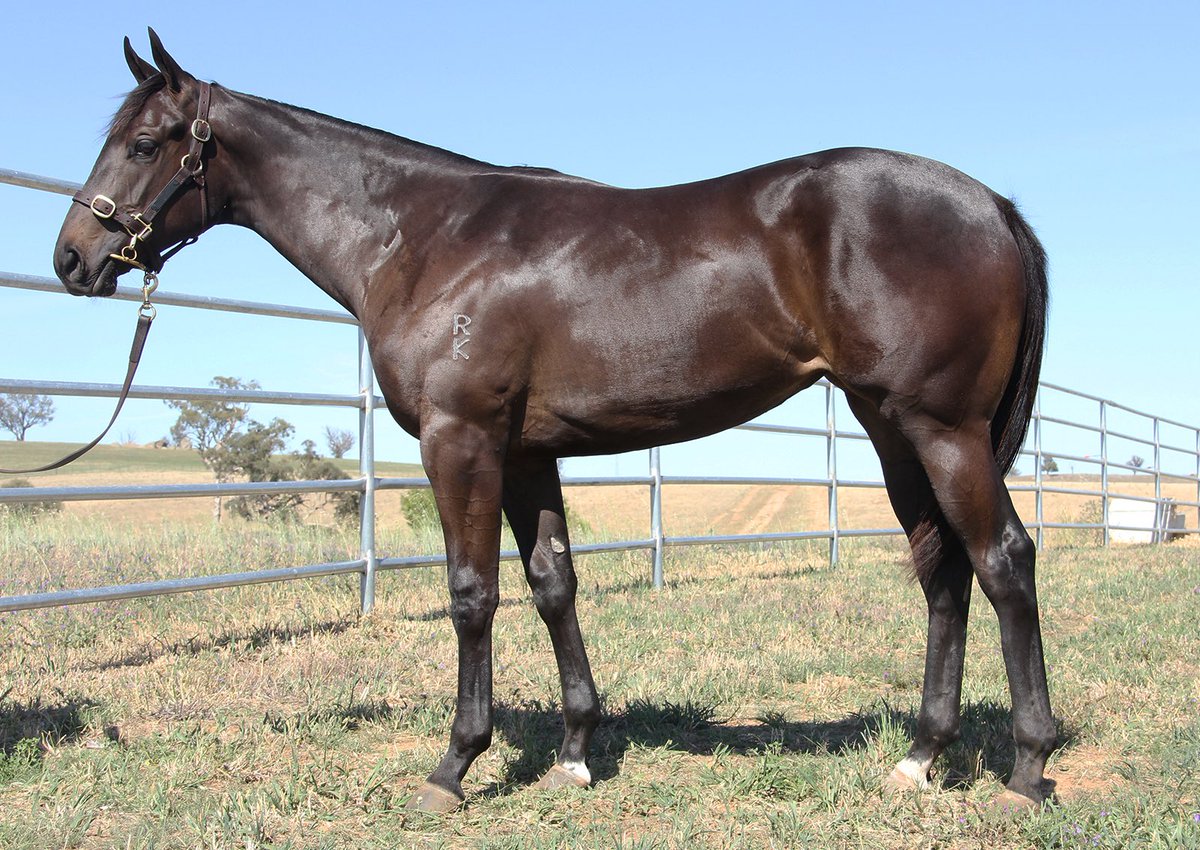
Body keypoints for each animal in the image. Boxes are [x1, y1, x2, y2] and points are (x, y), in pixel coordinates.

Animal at [53, 30, 1055, 813]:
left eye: (145, 142)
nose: (71, 258)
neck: (426, 237)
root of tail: (994, 205)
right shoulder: (529, 453)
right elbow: (552, 585)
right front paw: (575, 753)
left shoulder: (461, 440)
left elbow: (471, 593)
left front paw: (455, 766)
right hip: (891, 428)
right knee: (941, 568)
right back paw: (920, 758)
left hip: (942, 428)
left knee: (1002, 560)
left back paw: (1026, 767)